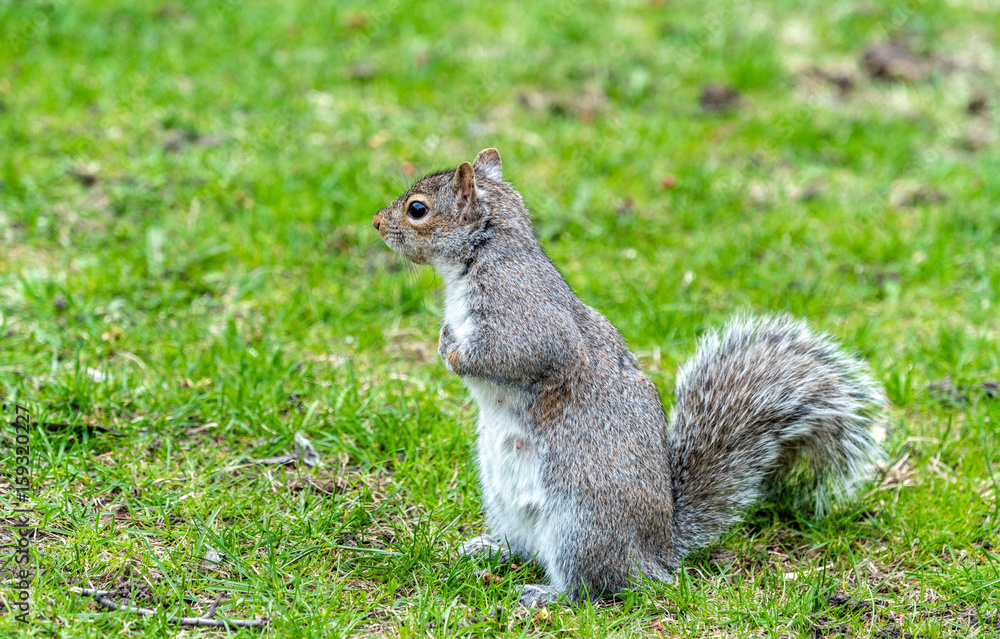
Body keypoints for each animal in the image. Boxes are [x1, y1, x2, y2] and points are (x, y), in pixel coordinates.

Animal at [372, 148, 888, 608]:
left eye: (417, 209)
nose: (377, 223)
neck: (480, 256)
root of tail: (657, 553)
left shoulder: (523, 316)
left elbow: (511, 357)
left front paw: (455, 354)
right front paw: (443, 337)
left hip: (581, 525)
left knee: (596, 586)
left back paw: (548, 595)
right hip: (506, 506)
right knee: (524, 547)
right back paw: (488, 548)